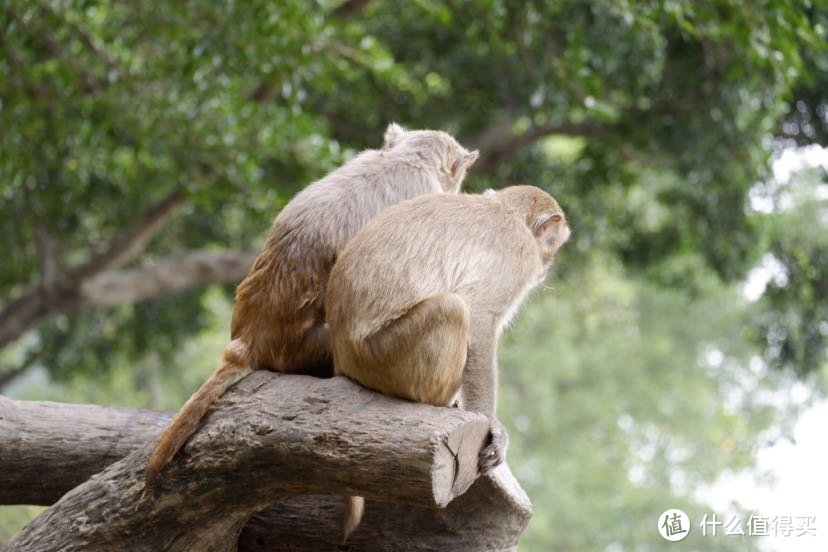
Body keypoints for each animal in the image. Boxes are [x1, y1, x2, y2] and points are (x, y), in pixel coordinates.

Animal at [324, 185, 568, 540]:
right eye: (552, 244)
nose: (546, 268)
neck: (507, 211)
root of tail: (342, 355)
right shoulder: (517, 256)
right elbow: (479, 319)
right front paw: (490, 423)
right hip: (383, 356)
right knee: (453, 308)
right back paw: (437, 402)